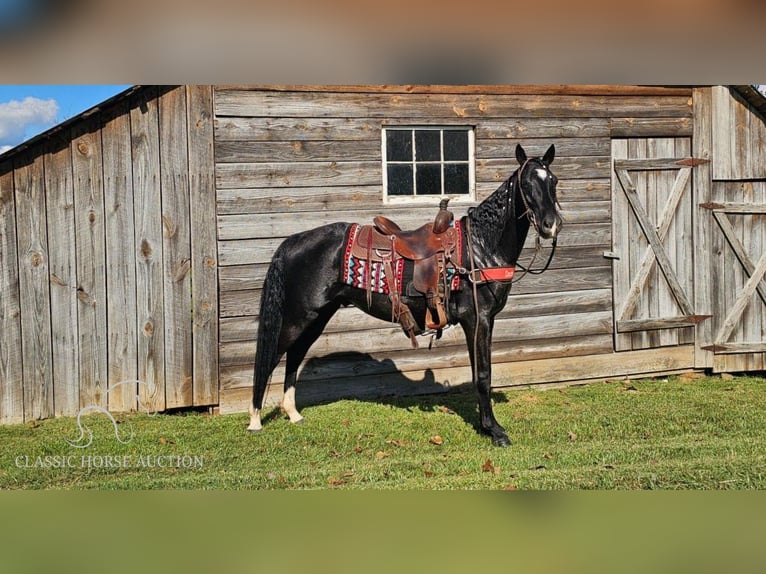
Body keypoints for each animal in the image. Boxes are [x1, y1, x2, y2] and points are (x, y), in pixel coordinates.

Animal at [249, 142, 560, 448]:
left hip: (318, 317)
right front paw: (494, 431)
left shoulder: (485, 320)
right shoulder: (477, 319)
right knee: (270, 358)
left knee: (295, 355)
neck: (480, 248)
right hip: (298, 317)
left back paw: (293, 414)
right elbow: (483, 374)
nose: (551, 225)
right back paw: (255, 421)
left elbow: (480, 371)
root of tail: (292, 242)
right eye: (527, 184)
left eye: (553, 181)